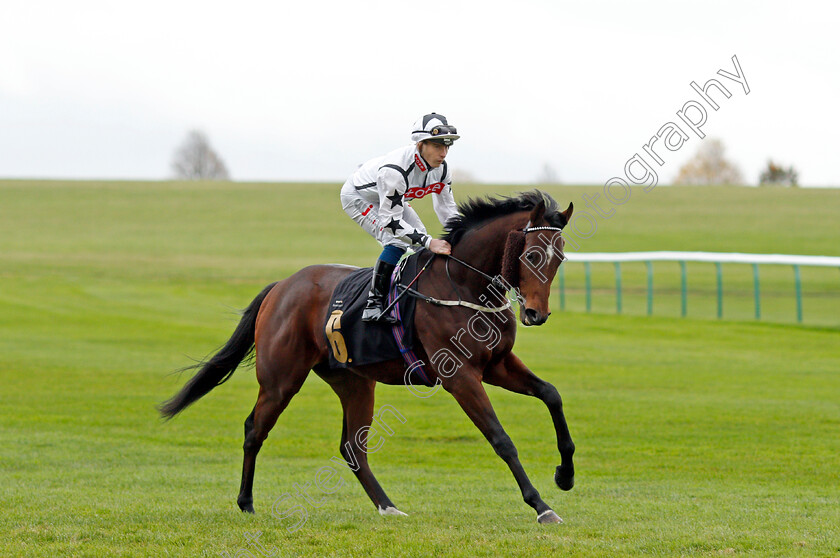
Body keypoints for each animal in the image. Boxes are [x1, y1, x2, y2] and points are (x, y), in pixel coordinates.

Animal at [159, 190, 576, 528]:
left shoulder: (496, 365)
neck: (462, 284)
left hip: (354, 381)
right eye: (532, 254)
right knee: (253, 430)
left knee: (352, 447)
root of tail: (281, 286)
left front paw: (565, 474)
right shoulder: (460, 376)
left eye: (560, 258)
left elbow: (552, 394)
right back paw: (246, 502)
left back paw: (388, 506)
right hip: (281, 380)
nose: (536, 313)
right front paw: (541, 506)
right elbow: (501, 438)